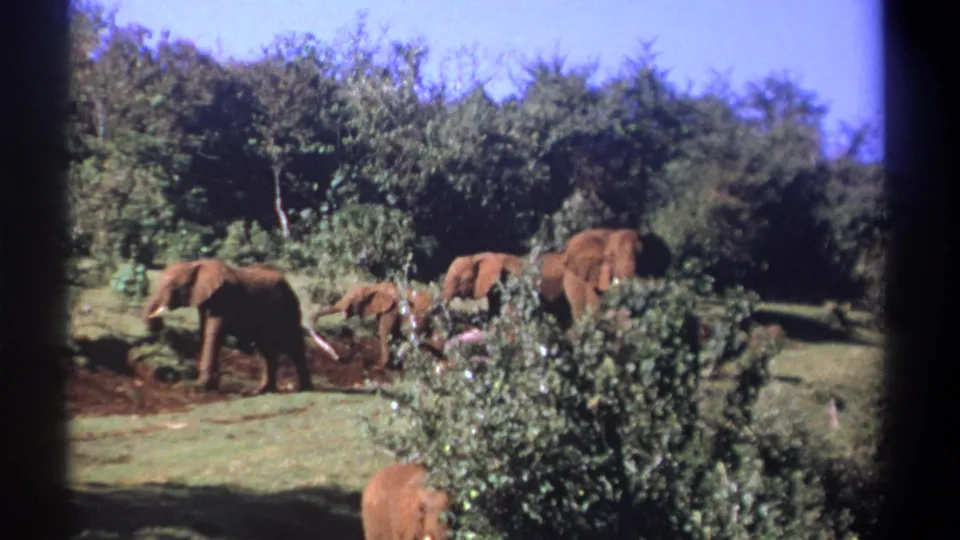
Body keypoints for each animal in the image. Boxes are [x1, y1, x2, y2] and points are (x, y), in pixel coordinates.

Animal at [141, 259, 339, 395]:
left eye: (172, 286)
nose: (157, 328)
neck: (196, 264)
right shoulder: (205, 300)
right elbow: (205, 332)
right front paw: (209, 385)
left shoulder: (224, 298)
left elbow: (213, 334)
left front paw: (201, 387)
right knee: (265, 349)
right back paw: (262, 390)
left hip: (288, 306)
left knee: (291, 345)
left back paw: (304, 389)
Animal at [309, 282, 440, 372]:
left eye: (355, 299)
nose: (337, 357)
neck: (374, 287)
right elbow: (392, 335)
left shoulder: (392, 309)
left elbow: (384, 332)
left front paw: (377, 367)